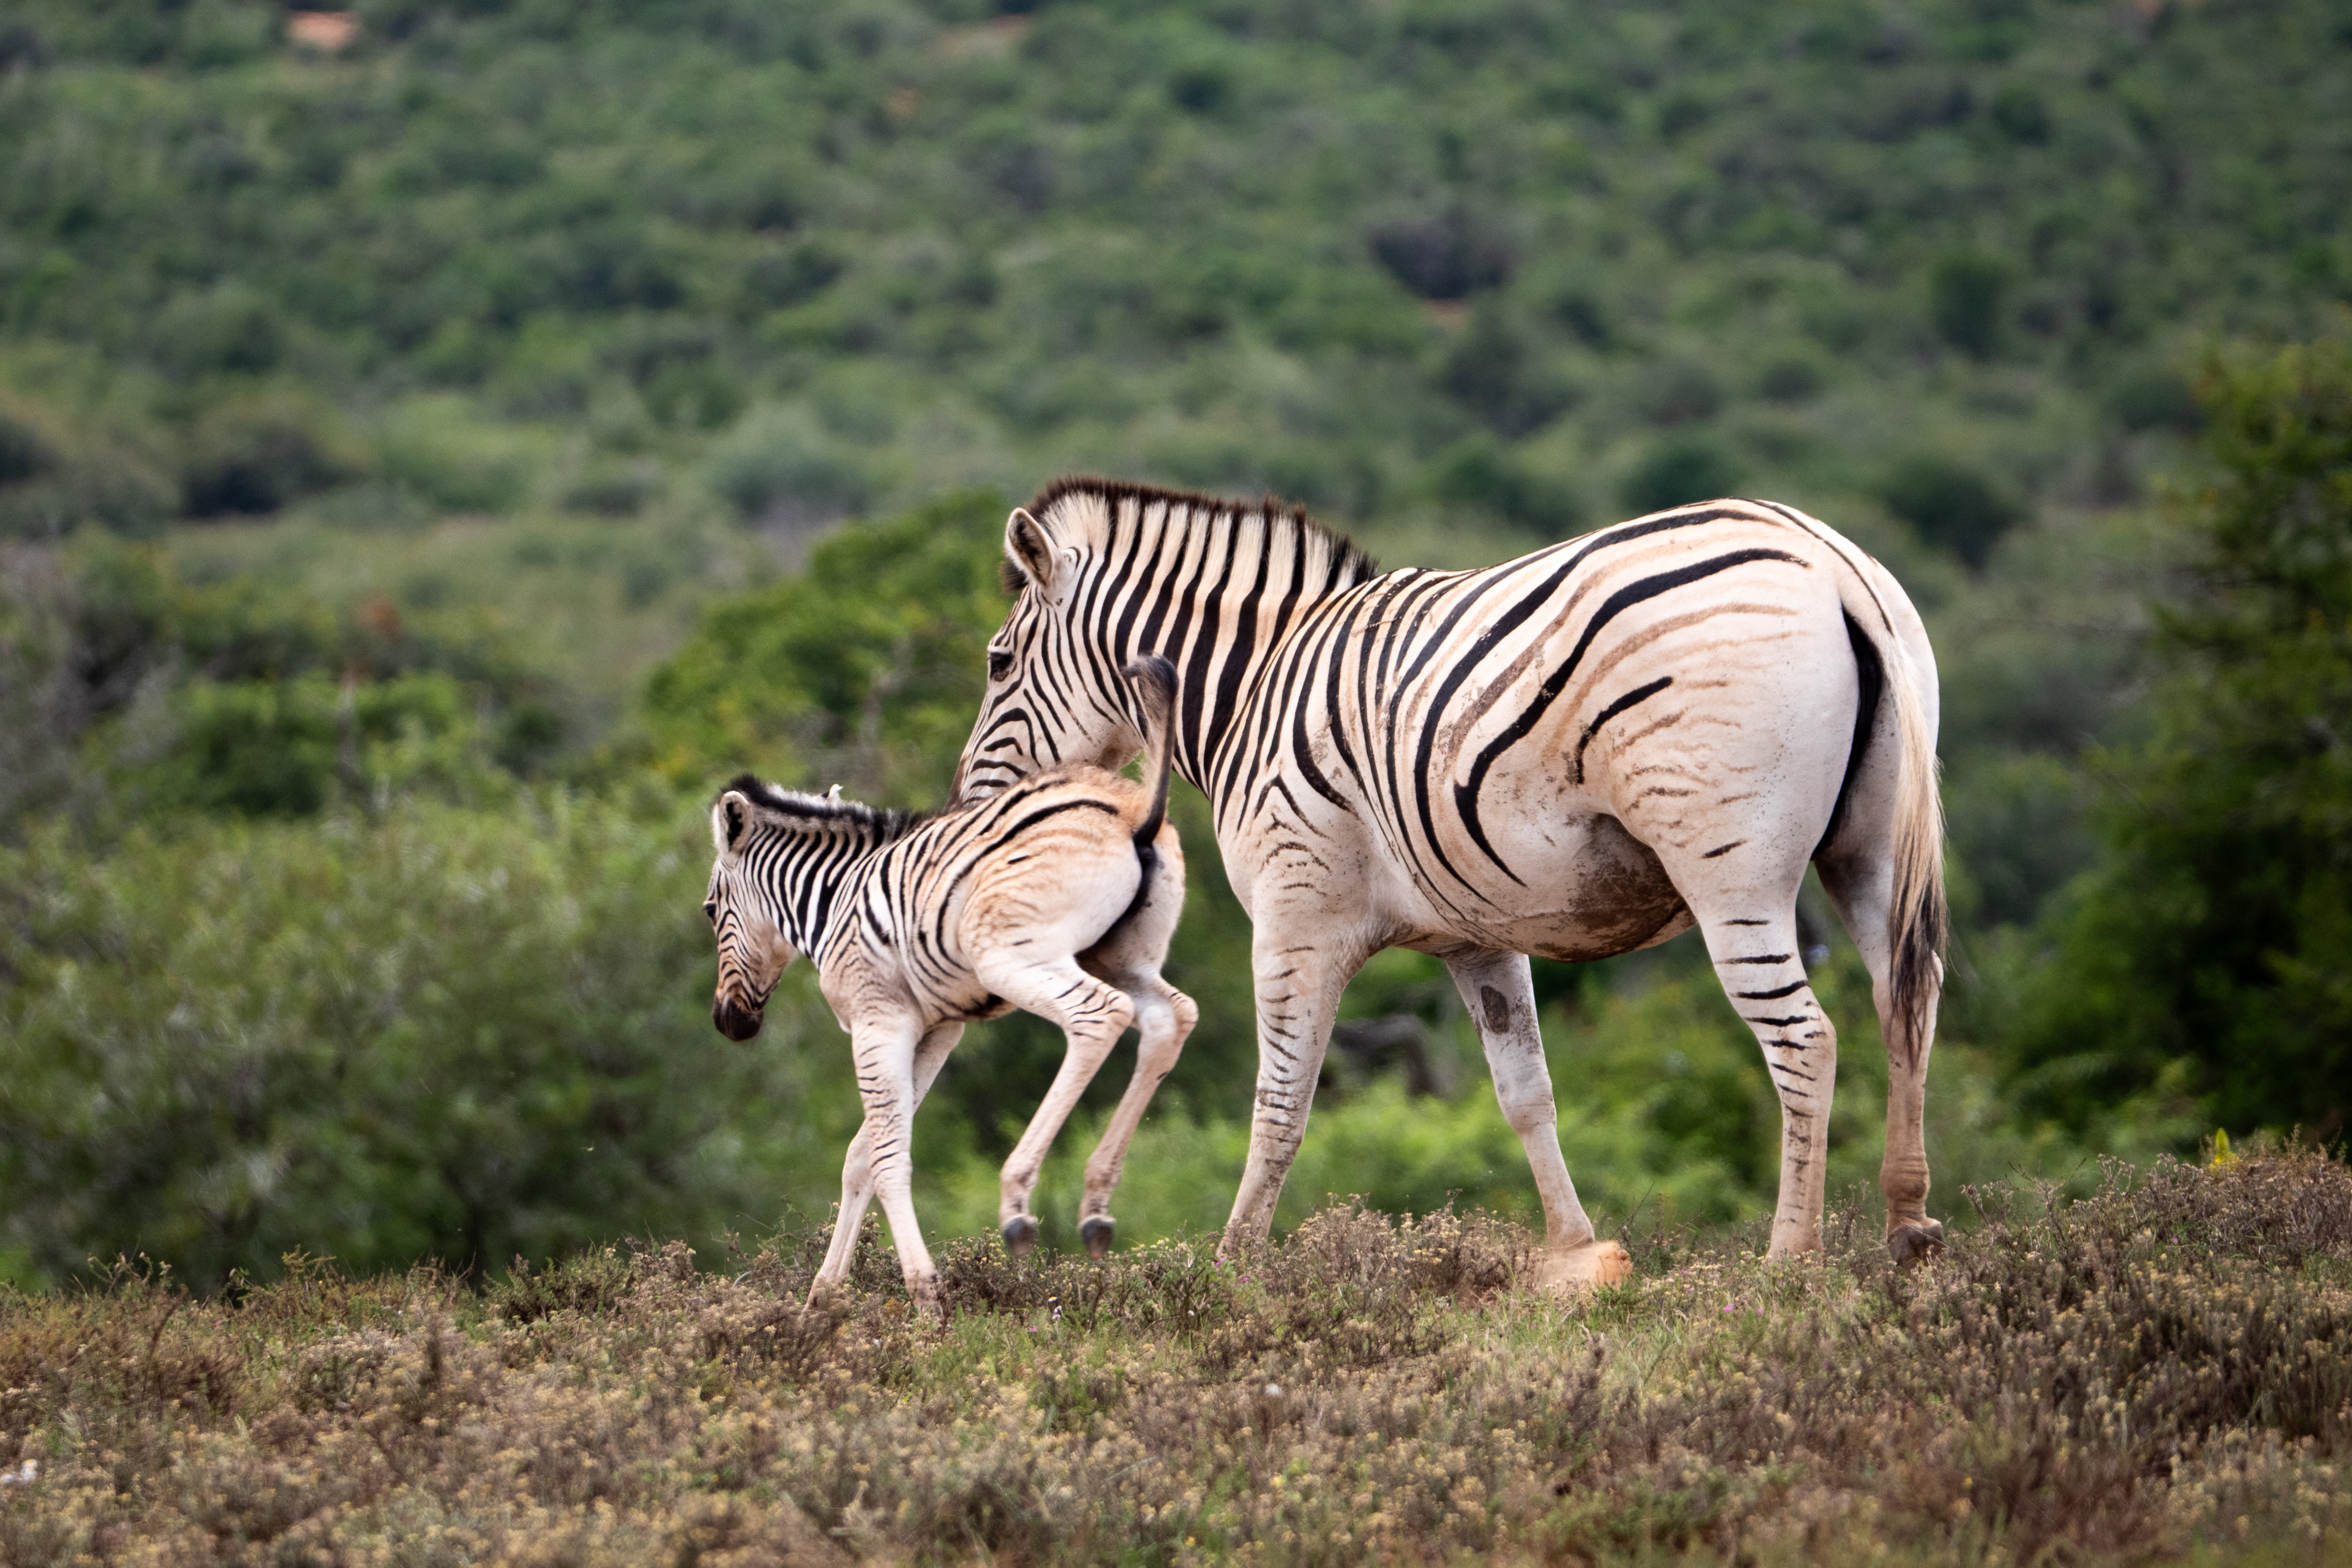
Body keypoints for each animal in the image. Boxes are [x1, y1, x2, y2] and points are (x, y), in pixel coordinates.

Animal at [707, 656, 1199, 1311]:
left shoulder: (879, 1020)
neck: (835, 898)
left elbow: (887, 1155)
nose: (728, 1023)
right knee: (1171, 1017)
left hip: (1011, 958)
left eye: (710, 911)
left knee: (1098, 1016)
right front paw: (822, 1301)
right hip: (1121, 957)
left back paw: (1018, 1202)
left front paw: (923, 1294)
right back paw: (1095, 1205)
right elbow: (861, 1155)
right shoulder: (938, 1028)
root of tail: (1134, 812)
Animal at [953, 479, 1947, 1290]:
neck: (1252, 691)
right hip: (1869, 855)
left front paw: (1230, 1269)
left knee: (1805, 1037)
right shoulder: (1479, 932)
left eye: (998, 663)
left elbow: (1280, 1103)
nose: (970, 804)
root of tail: (1828, 560)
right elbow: (1525, 1094)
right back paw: (1908, 1227)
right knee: (1906, 1002)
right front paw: (1577, 1257)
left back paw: (1789, 1260)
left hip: (1731, 866)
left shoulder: (1293, 911)